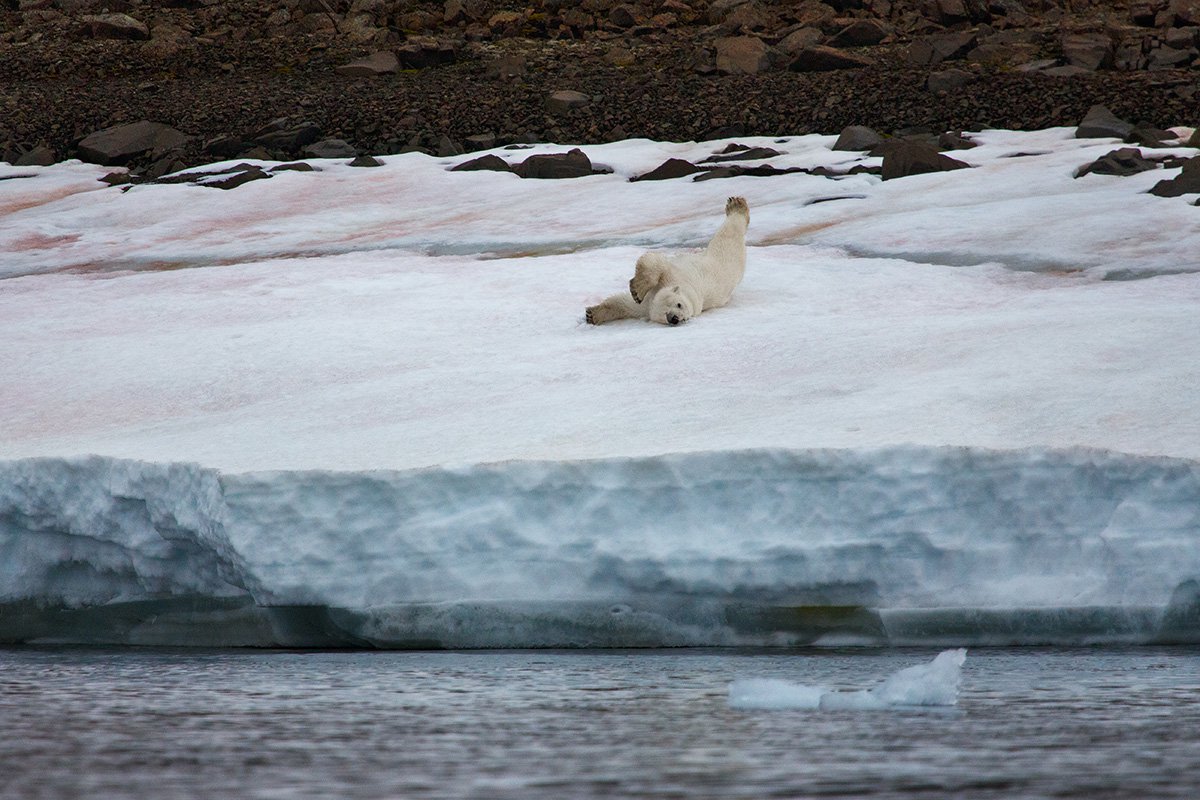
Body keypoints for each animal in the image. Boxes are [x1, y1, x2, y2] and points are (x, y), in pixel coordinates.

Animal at [583, 196, 744, 326]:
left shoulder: (668, 283)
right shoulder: (653, 297)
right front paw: (593, 314)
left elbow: (654, 263)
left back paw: (738, 206)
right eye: (678, 305)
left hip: (724, 264)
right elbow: (624, 302)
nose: (675, 319)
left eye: (681, 308)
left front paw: (635, 291)